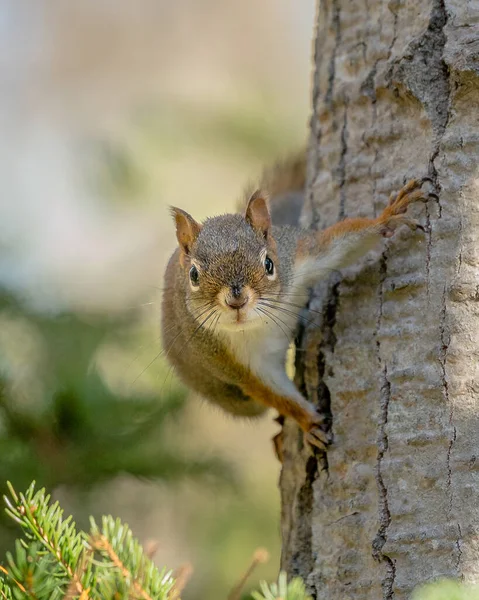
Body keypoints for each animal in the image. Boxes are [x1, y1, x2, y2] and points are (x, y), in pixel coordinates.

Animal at [163, 156, 434, 454]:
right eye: (194, 275)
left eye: (269, 263)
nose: (237, 300)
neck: (257, 325)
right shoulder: (233, 362)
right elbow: (275, 394)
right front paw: (309, 424)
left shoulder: (299, 256)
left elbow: (341, 245)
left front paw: (388, 216)